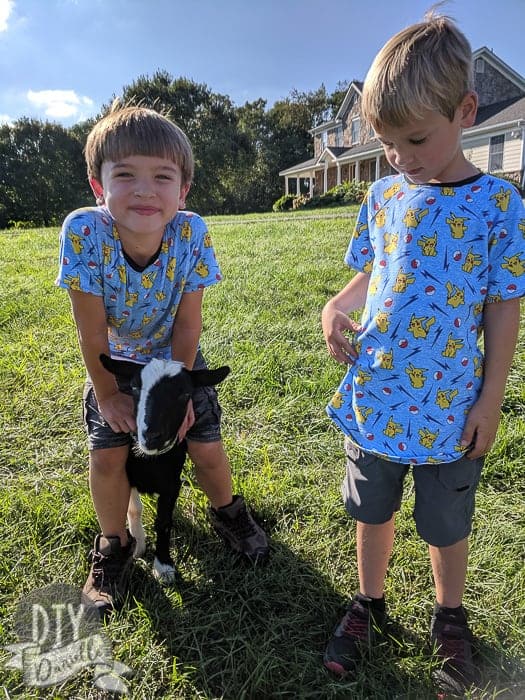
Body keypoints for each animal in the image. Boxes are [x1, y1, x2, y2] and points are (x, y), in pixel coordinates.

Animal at [99, 352, 229, 584]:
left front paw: (163, 566)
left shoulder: (171, 484)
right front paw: (138, 546)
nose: (151, 436)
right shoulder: (127, 474)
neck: (150, 460)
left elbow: (163, 522)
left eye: (185, 393)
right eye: (134, 387)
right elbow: (134, 509)